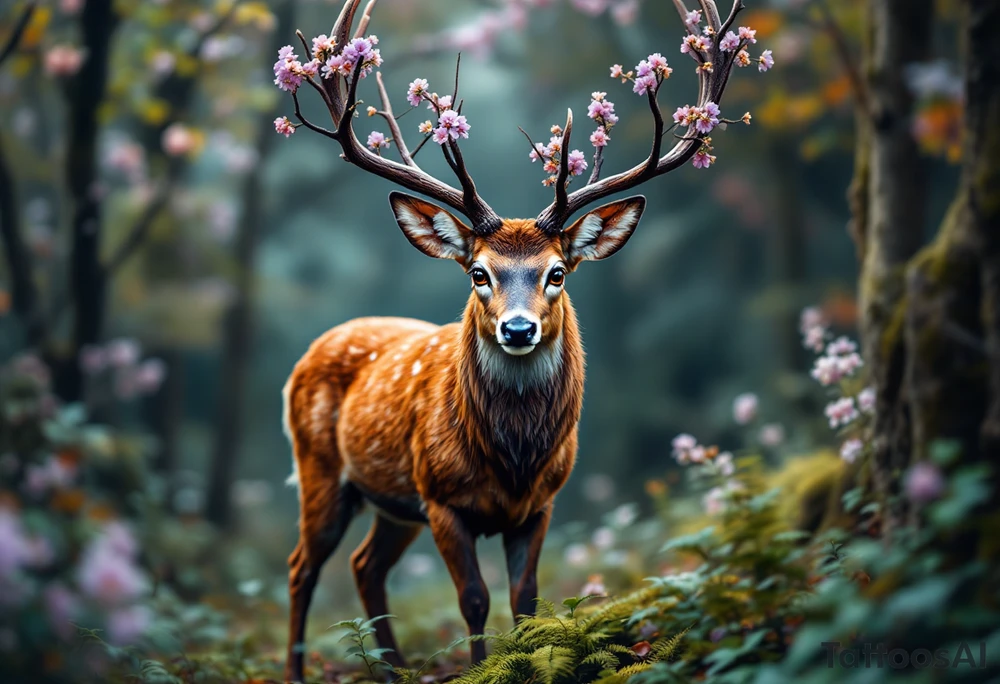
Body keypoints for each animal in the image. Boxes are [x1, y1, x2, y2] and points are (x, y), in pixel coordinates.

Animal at [276, 0, 764, 680]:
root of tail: (309, 355)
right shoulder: (442, 497)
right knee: (302, 566)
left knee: (364, 566)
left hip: (392, 501)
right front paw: (481, 666)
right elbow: (474, 600)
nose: (517, 328)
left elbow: (525, 600)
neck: (511, 460)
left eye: (556, 272)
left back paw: (395, 669)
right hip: (322, 468)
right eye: (479, 273)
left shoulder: (542, 502)